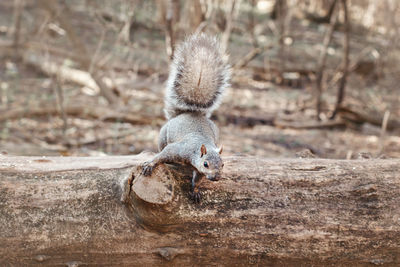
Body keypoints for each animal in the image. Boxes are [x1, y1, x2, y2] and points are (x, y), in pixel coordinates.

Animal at [142, 33, 231, 203]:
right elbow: (162, 155)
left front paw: (195, 191)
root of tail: (190, 113)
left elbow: (197, 179)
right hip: (163, 135)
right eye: (206, 164)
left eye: (223, 164)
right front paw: (150, 164)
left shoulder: (199, 171)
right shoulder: (178, 149)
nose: (216, 177)